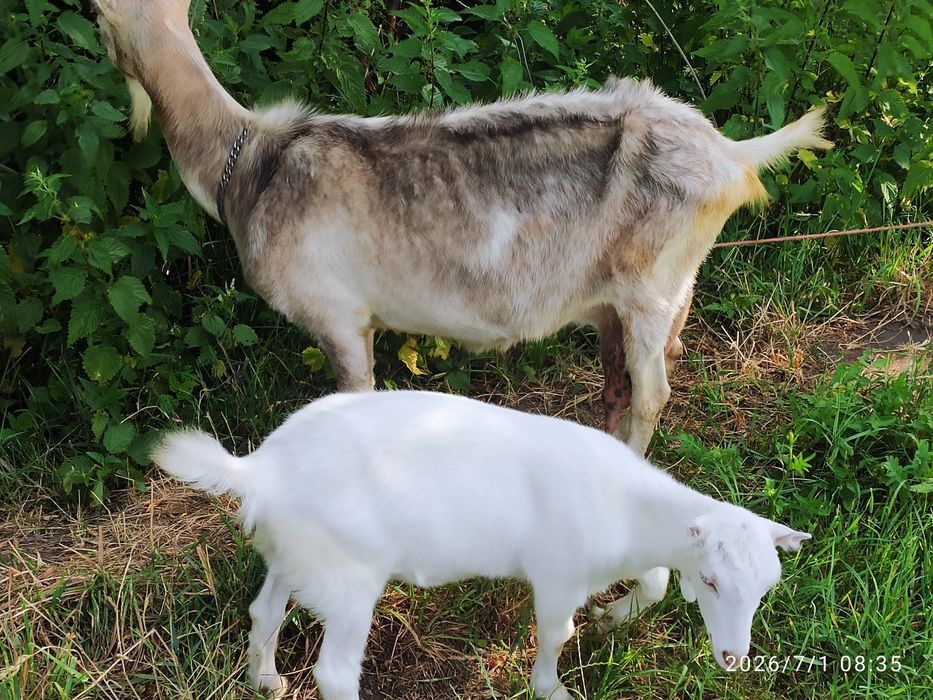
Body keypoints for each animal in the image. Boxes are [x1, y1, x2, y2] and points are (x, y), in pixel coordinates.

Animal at [93, 0, 831, 454]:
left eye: (98, 20)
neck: (252, 163)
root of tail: (731, 154)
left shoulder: (337, 317)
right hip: (669, 289)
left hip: (648, 286)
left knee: (653, 392)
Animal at [155, 390, 811, 700]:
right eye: (713, 581)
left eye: (767, 587)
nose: (733, 657)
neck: (625, 506)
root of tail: (261, 471)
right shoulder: (557, 575)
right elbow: (556, 633)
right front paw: (553, 688)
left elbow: (654, 582)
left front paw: (610, 620)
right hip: (349, 577)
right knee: (336, 671)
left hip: (295, 553)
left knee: (264, 610)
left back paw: (266, 681)